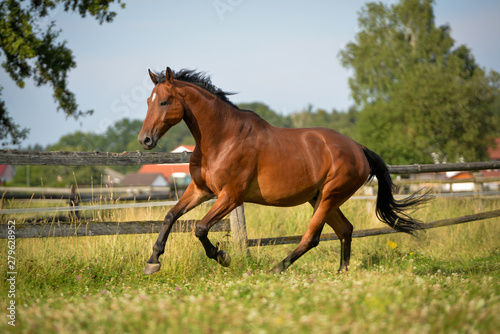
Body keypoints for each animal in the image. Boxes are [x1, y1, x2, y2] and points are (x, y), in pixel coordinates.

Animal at [139, 68, 428, 274]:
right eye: (148, 101)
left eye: (164, 102)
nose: (145, 140)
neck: (223, 137)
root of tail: (359, 147)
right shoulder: (201, 189)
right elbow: (170, 215)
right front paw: (153, 261)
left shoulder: (231, 196)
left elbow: (200, 228)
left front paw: (223, 257)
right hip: (320, 198)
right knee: (345, 229)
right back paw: (341, 272)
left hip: (329, 196)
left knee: (312, 238)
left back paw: (275, 269)